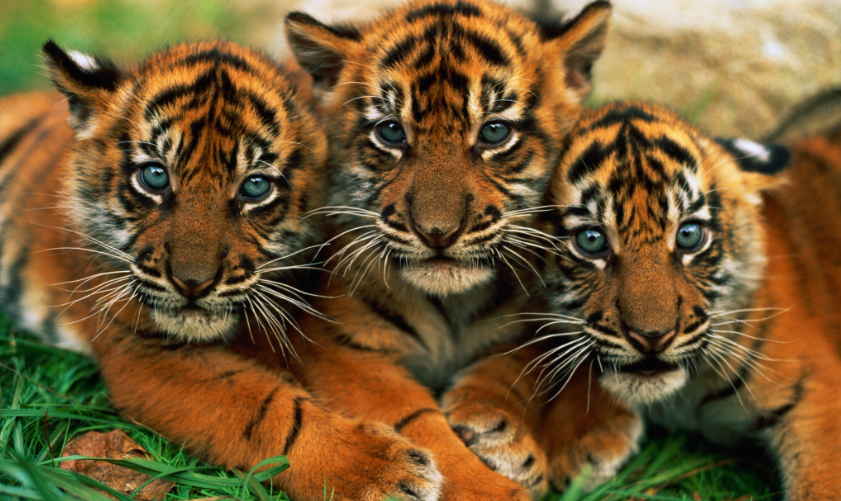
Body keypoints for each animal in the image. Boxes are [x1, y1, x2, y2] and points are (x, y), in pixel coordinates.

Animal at [0, 40, 463, 501]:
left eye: (255, 187)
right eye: (155, 177)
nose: (193, 283)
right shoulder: (142, 350)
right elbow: (268, 410)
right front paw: (380, 472)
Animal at [266, 0, 611, 499]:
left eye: (494, 132)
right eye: (391, 132)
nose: (437, 232)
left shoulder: (525, 326)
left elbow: (508, 370)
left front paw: (498, 430)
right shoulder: (341, 348)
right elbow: (414, 418)